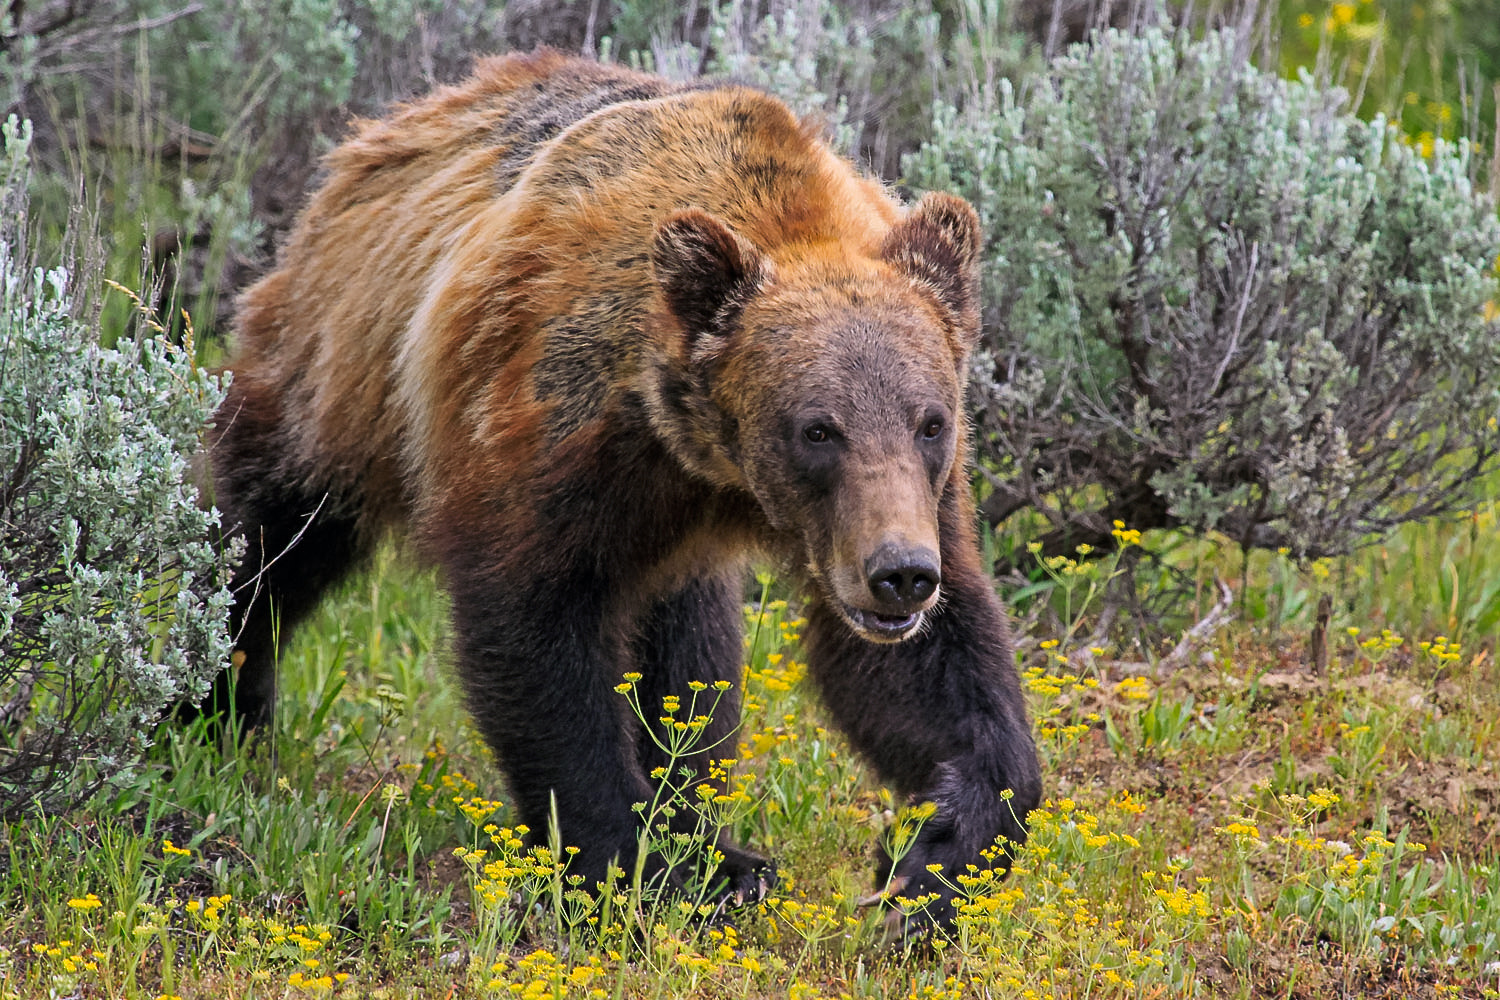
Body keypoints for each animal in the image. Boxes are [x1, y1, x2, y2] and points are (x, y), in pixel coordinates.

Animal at [205, 48, 1041, 929]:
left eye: (930, 421)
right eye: (818, 429)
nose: (899, 574)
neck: (700, 455)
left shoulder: (911, 506)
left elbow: (930, 668)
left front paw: (936, 854)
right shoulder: (551, 424)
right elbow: (538, 630)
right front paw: (651, 863)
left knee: (690, 649)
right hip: (342, 371)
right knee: (272, 531)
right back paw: (221, 707)